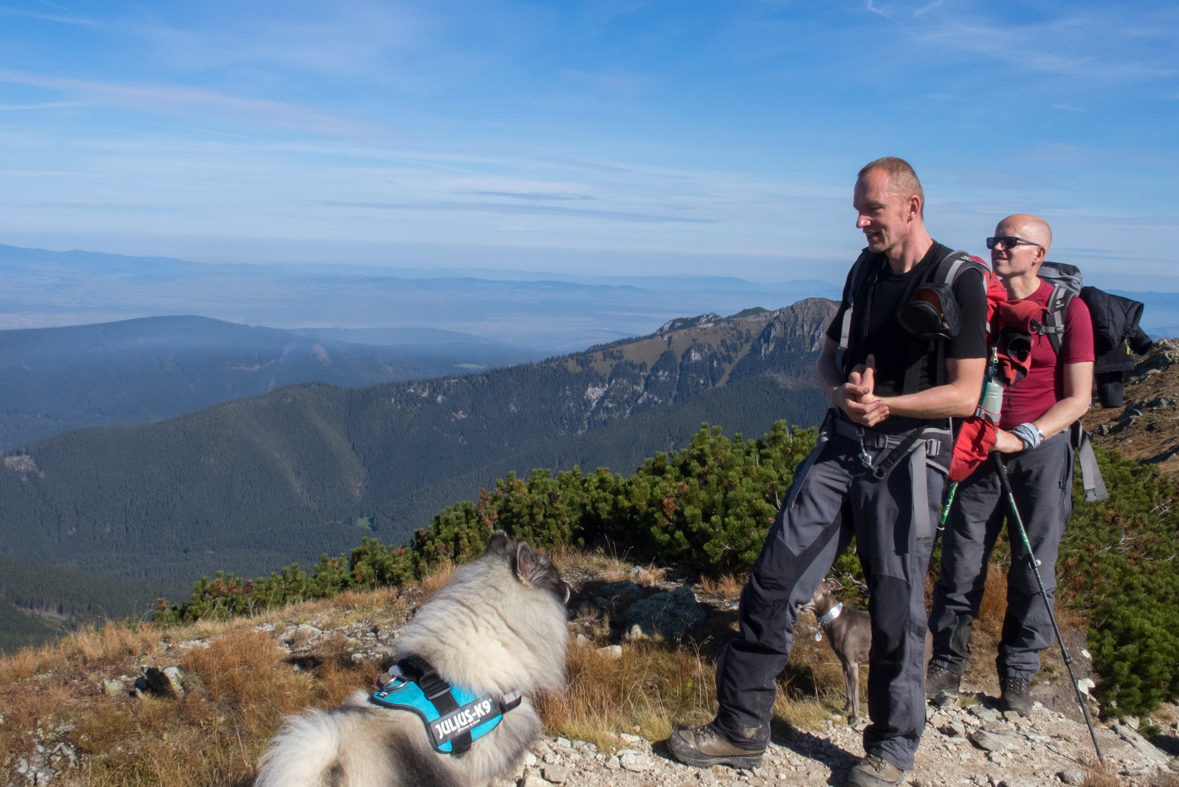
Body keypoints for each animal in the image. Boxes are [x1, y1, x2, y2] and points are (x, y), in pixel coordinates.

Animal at [806, 574, 872, 721]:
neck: (837, 619)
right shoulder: (844, 663)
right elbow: (848, 691)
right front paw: (846, 709)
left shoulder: (853, 664)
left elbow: (855, 693)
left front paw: (855, 718)